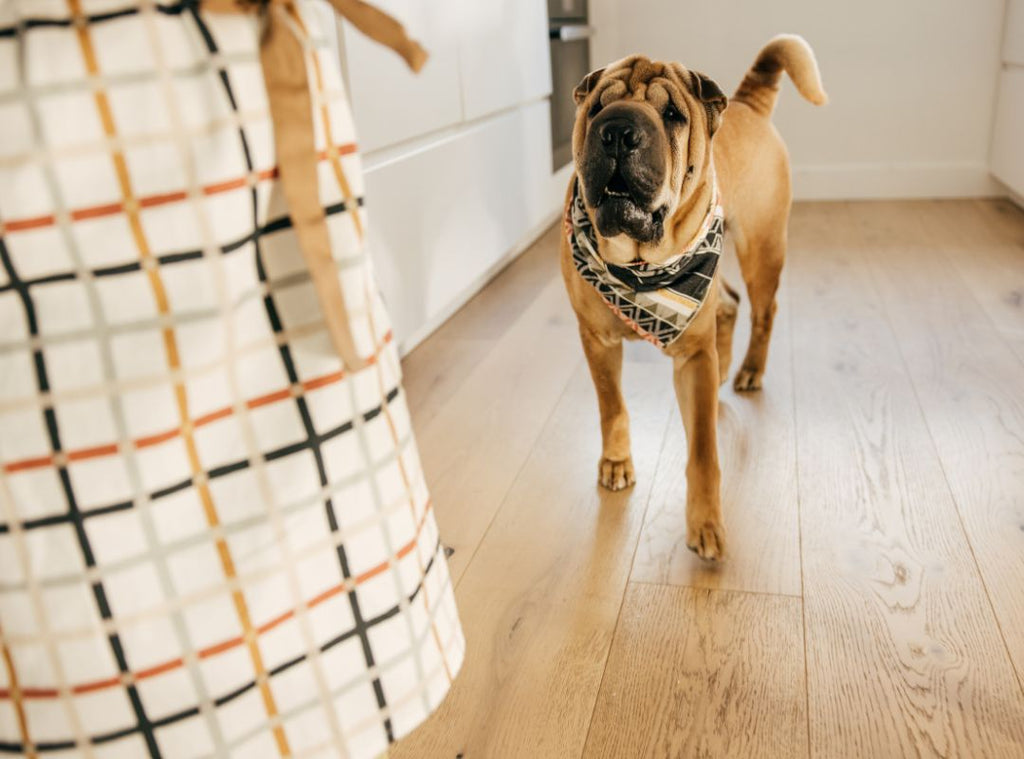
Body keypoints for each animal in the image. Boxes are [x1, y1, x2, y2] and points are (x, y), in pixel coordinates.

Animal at [565, 35, 827, 557]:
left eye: (672, 115)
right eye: (598, 107)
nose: (618, 131)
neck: (639, 268)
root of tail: (748, 103)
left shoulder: (692, 356)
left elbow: (704, 449)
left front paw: (706, 523)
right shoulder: (597, 341)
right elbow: (612, 406)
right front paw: (616, 462)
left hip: (761, 249)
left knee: (764, 310)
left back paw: (748, 371)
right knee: (729, 304)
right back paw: (728, 367)